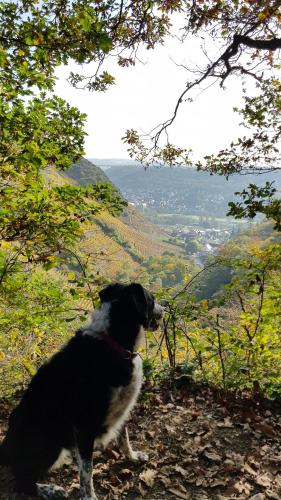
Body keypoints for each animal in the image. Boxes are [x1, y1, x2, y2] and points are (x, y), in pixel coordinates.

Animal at [0, 286, 162, 500]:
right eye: (152, 299)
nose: (163, 310)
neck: (113, 342)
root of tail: (4, 448)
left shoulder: (123, 410)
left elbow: (124, 438)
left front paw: (133, 457)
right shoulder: (84, 425)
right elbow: (87, 469)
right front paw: (89, 496)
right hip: (48, 441)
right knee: (23, 480)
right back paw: (50, 489)